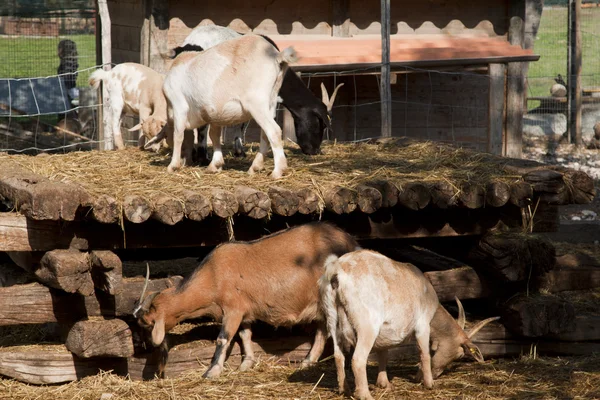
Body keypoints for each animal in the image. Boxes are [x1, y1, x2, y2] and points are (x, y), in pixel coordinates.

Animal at [134, 220, 358, 380]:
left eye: (147, 324)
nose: (144, 348)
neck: (214, 275)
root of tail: (350, 242)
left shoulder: (232, 309)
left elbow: (223, 338)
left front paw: (212, 371)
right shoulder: (244, 311)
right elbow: (245, 335)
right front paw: (246, 363)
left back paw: (311, 361)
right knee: (323, 329)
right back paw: (308, 361)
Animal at [148, 34, 298, 178]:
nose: (189, 159)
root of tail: (277, 56)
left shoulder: (179, 105)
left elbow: (178, 135)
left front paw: (173, 166)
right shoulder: (215, 113)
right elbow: (214, 135)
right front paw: (216, 164)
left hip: (257, 103)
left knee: (274, 131)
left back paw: (278, 171)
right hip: (271, 102)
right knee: (265, 134)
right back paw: (255, 167)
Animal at [322, 250, 500, 400]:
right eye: (460, 355)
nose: (436, 374)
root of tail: (337, 273)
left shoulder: (384, 331)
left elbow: (383, 353)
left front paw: (384, 383)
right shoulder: (423, 324)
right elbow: (424, 353)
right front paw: (429, 383)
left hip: (332, 318)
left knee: (338, 355)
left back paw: (344, 390)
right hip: (367, 324)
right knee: (358, 359)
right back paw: (365, 395)